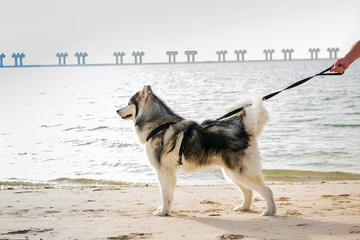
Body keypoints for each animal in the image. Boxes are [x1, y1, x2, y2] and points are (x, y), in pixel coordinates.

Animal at [116, 86, 278, 216]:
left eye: (129, 104)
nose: (116, 110)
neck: (158, 126)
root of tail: (243, 128)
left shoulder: (163, 171)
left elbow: (164, 194)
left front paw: (163, 212)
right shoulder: (170, 173)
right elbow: (169, 195)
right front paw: (166, 210)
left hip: (240, 171)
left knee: (266, 190)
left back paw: (270, 211)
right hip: (232, 172)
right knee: (248, 191)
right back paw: (244, 208)